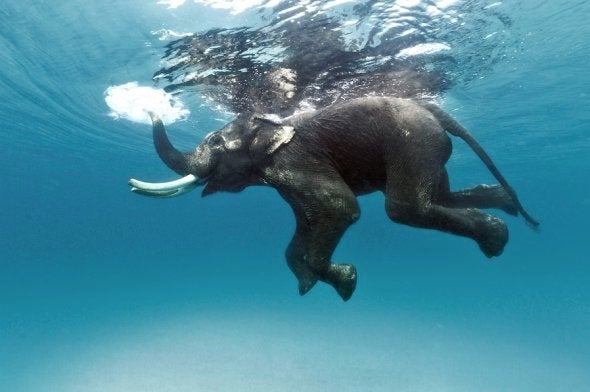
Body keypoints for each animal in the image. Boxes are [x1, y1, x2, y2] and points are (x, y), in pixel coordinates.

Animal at [131, 97, 540, 300]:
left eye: (215, 142)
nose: (150, 107)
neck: (270, 124)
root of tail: (436, 111)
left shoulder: (295, 160)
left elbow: (340, 208)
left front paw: (346, 283)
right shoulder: (286, 181)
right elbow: (303, 228)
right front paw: (309, 286)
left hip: (414, 140)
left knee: (405, 207)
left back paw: (496, 238)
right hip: (427, 146)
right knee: (437, 194)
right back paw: (501, 216)